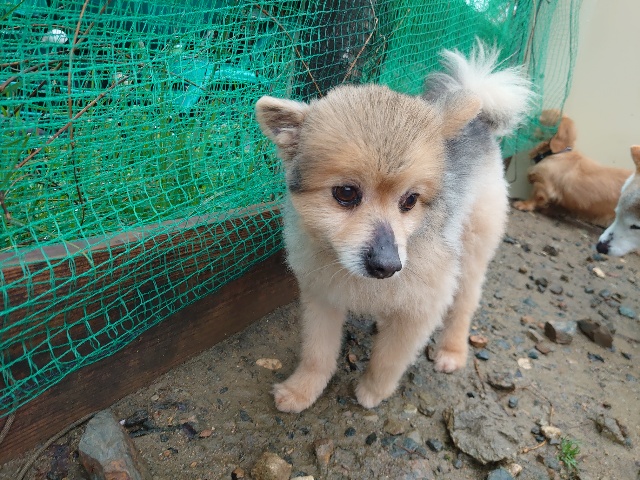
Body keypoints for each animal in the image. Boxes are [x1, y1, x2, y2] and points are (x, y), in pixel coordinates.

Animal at [255, 43, 531, 412]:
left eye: (410, 200)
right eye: (346, 193)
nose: (388, 266)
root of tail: (480, 120)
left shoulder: (422, 307)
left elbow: (390, 357)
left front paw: (373, 390)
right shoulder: (322, 296)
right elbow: (317, 351)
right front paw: (302, 389)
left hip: (473, 246)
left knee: (466, 301)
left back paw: (452, 350)